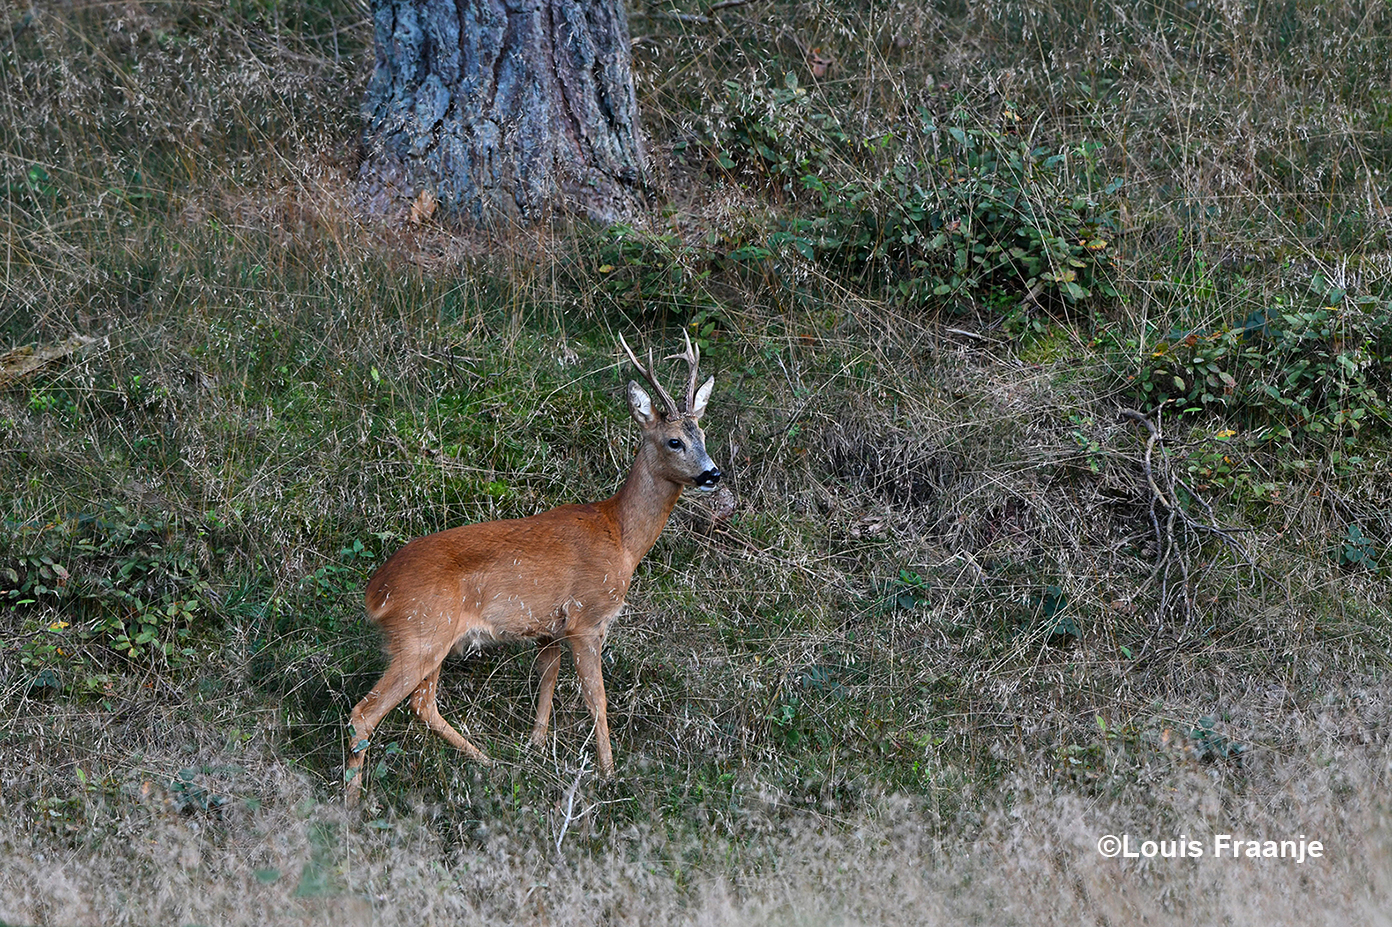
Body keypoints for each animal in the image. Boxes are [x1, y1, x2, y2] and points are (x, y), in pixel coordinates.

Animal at [343, 332, 723, 801]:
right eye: (674, 441)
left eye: (702, 432)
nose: (712, 474)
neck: (620, 536)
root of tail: (376, 590)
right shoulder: (586, 618)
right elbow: (596, 698)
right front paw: (609, 774)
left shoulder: (548, 628)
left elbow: (547, 681)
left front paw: (537, 748)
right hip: (420, 633)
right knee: (365, 712)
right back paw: (354, 802)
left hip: (432, 640)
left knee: (421, 705)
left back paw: (488, 761)